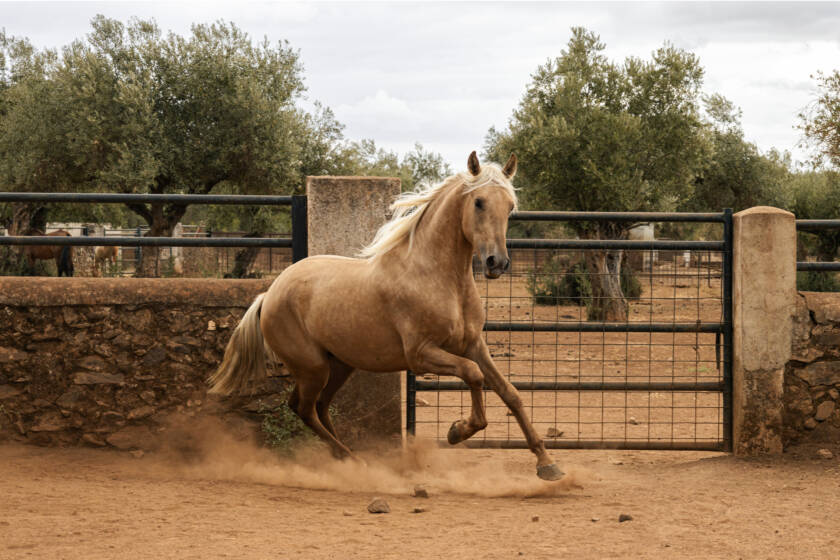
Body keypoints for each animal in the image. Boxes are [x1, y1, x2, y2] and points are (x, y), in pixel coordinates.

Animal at [209, 151, 564, 481]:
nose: (497, 263)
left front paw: (547, 464)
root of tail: (269, 294)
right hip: (313, 367)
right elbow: (473, 375)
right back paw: (354, 461)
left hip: (339, 365)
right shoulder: (421, 354)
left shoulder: (473, 344)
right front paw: (457, 430)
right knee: (304, 408)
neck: (437, 277)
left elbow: (510, 393)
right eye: (478, 202)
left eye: (510, 206)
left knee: (319, 408)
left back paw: (346, 459)